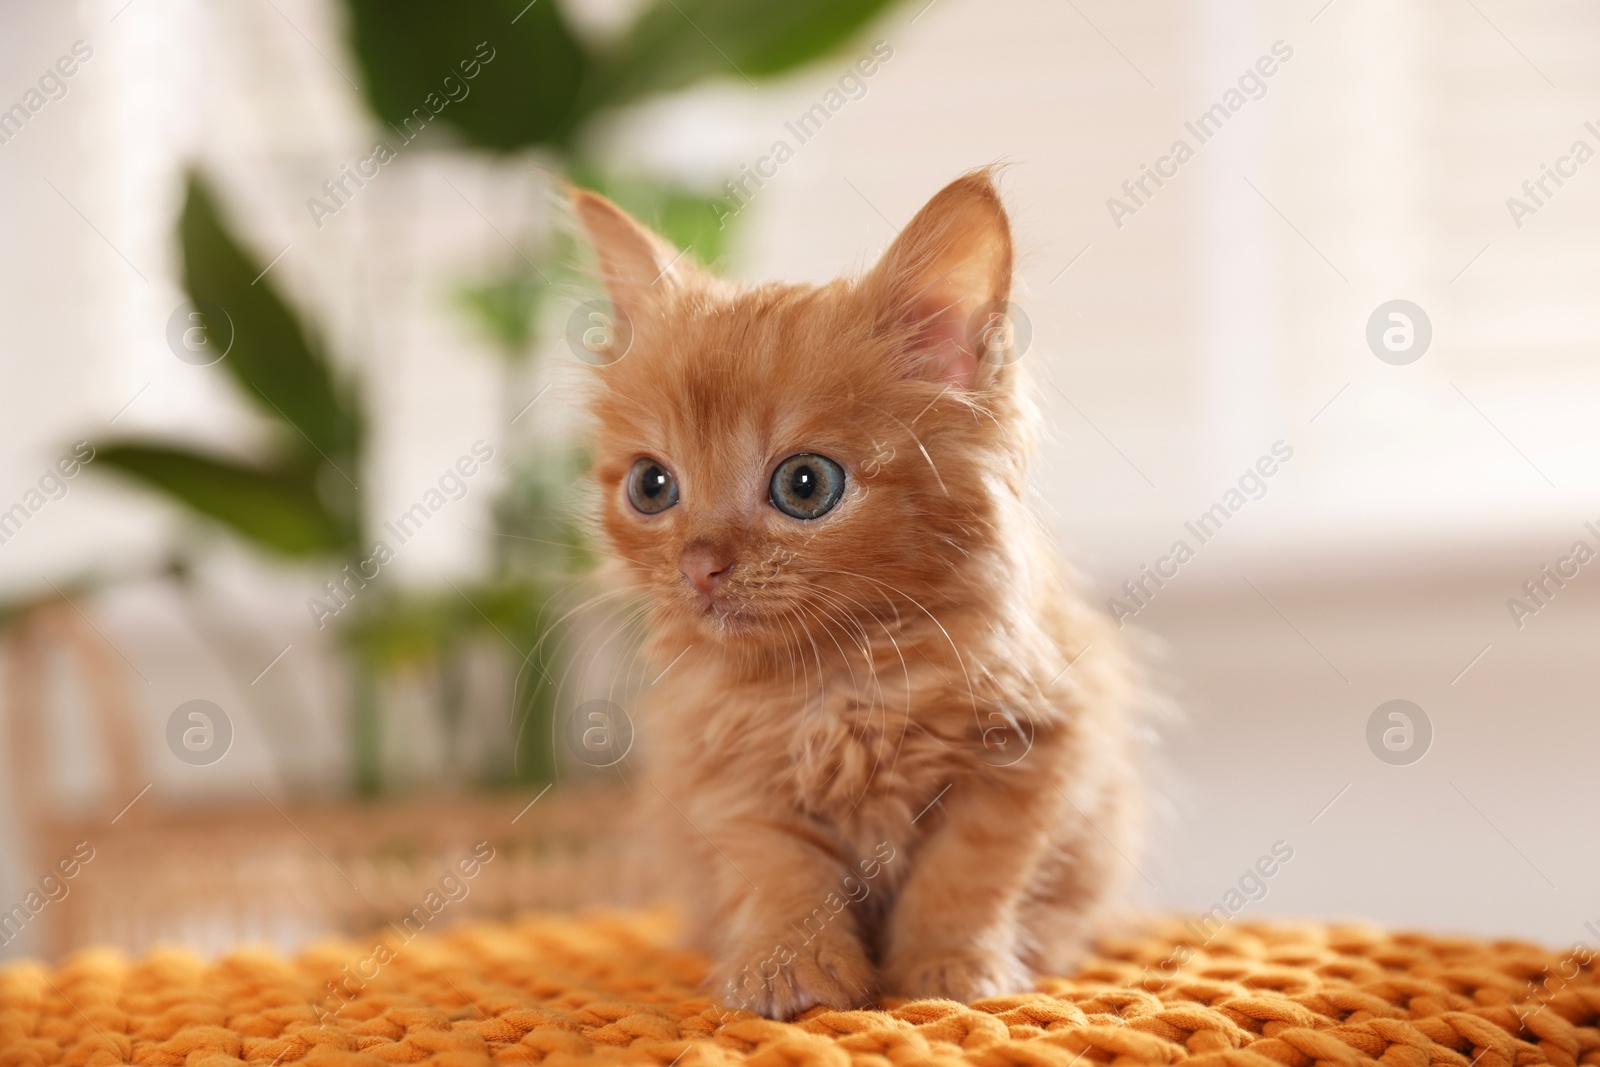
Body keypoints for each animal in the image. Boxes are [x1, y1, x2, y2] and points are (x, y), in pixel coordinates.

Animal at [572, 171, 1139, 1023]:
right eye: (651, 485)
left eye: (805, 485)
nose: (700, 564)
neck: (838, 675)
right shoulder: (726, 775)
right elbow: (782, 872)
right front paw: (790, 970)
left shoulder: (1034, 750)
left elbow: (968, 875)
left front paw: (950, 966)